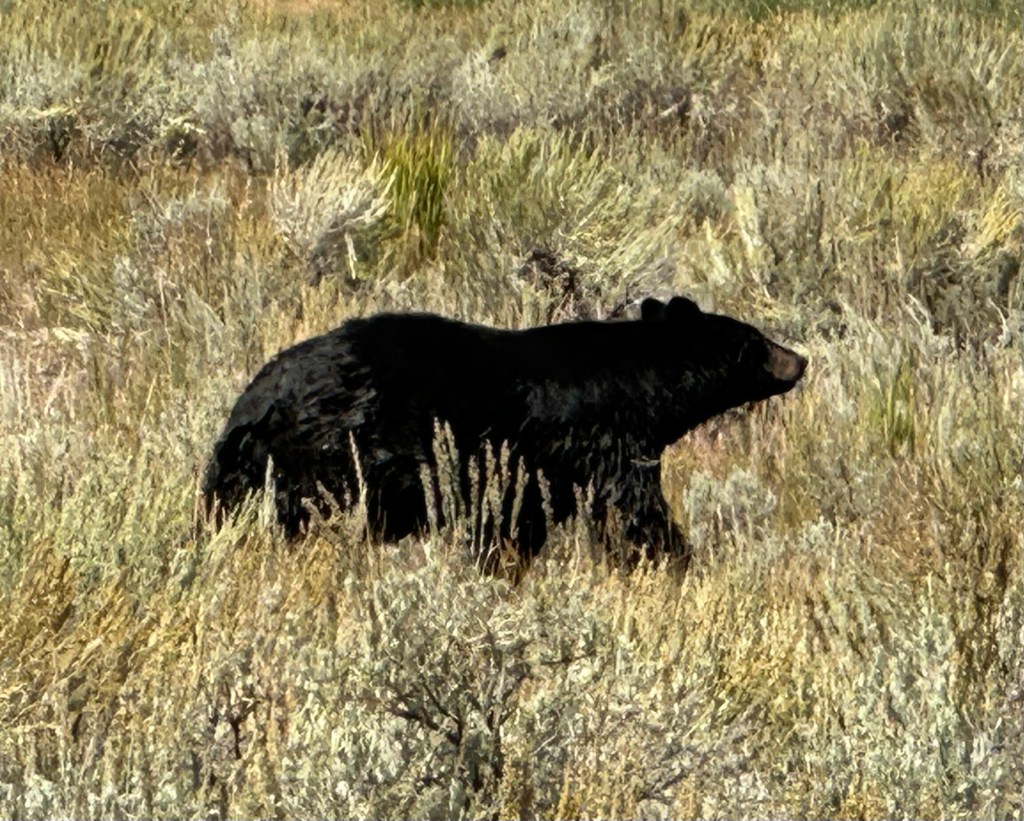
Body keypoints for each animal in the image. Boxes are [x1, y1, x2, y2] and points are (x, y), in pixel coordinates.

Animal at [203, 296, 806, 564]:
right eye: (755, 341)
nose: (799, 360)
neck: (643, 382)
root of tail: (254, 402)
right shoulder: (609, 441)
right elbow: (634, 504)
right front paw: (672, 556)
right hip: (338, 450)